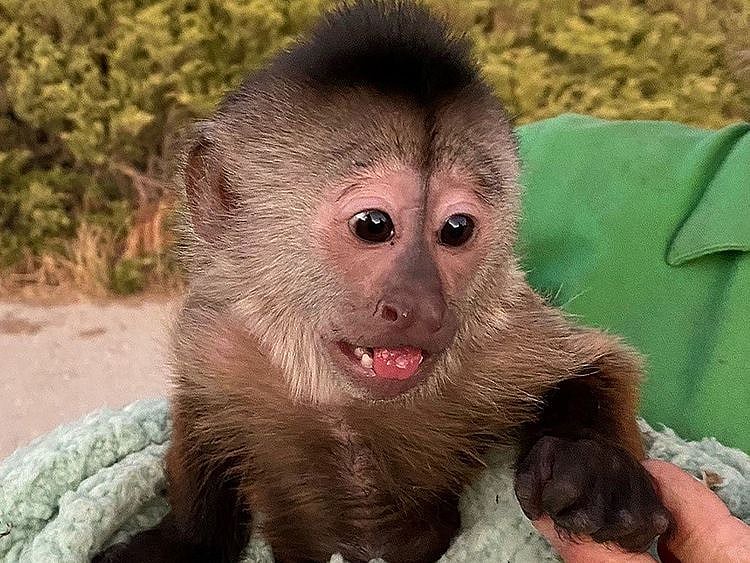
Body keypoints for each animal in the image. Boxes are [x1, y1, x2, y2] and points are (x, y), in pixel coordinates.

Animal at [95, 2, 671, 562]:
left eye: (456, 230)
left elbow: (596, 364)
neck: (343, 402)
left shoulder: (497, 338)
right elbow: (201, 415)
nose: (422, 306)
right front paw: (182, 540)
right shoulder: (220, 341)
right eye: (373, 225)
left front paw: (593, 462)